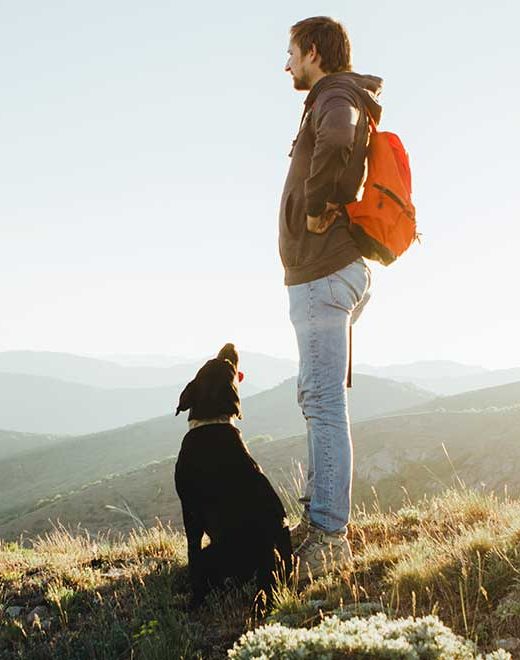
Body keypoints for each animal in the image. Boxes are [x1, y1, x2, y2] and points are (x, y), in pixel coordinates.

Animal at [174, 342, 288, 604]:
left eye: (227, 363)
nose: (230, 345)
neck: (211, 421)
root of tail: (267, 555)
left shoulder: (190, 511)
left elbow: (192, 551)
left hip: (212, 554)